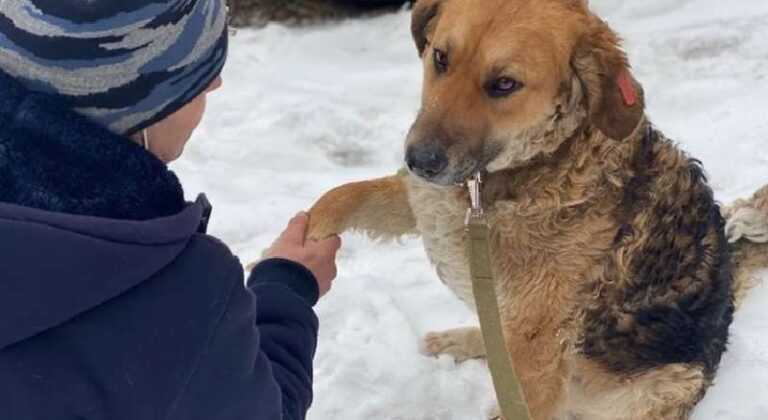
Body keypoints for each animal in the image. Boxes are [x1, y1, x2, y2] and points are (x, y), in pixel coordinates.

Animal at [300, 1, 768, 418]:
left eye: (505, 84)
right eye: (441, 58)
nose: (420, 160)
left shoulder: (536, 352)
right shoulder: (429, 204)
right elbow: (348, 195)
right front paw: (304, 241)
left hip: (653, 387)